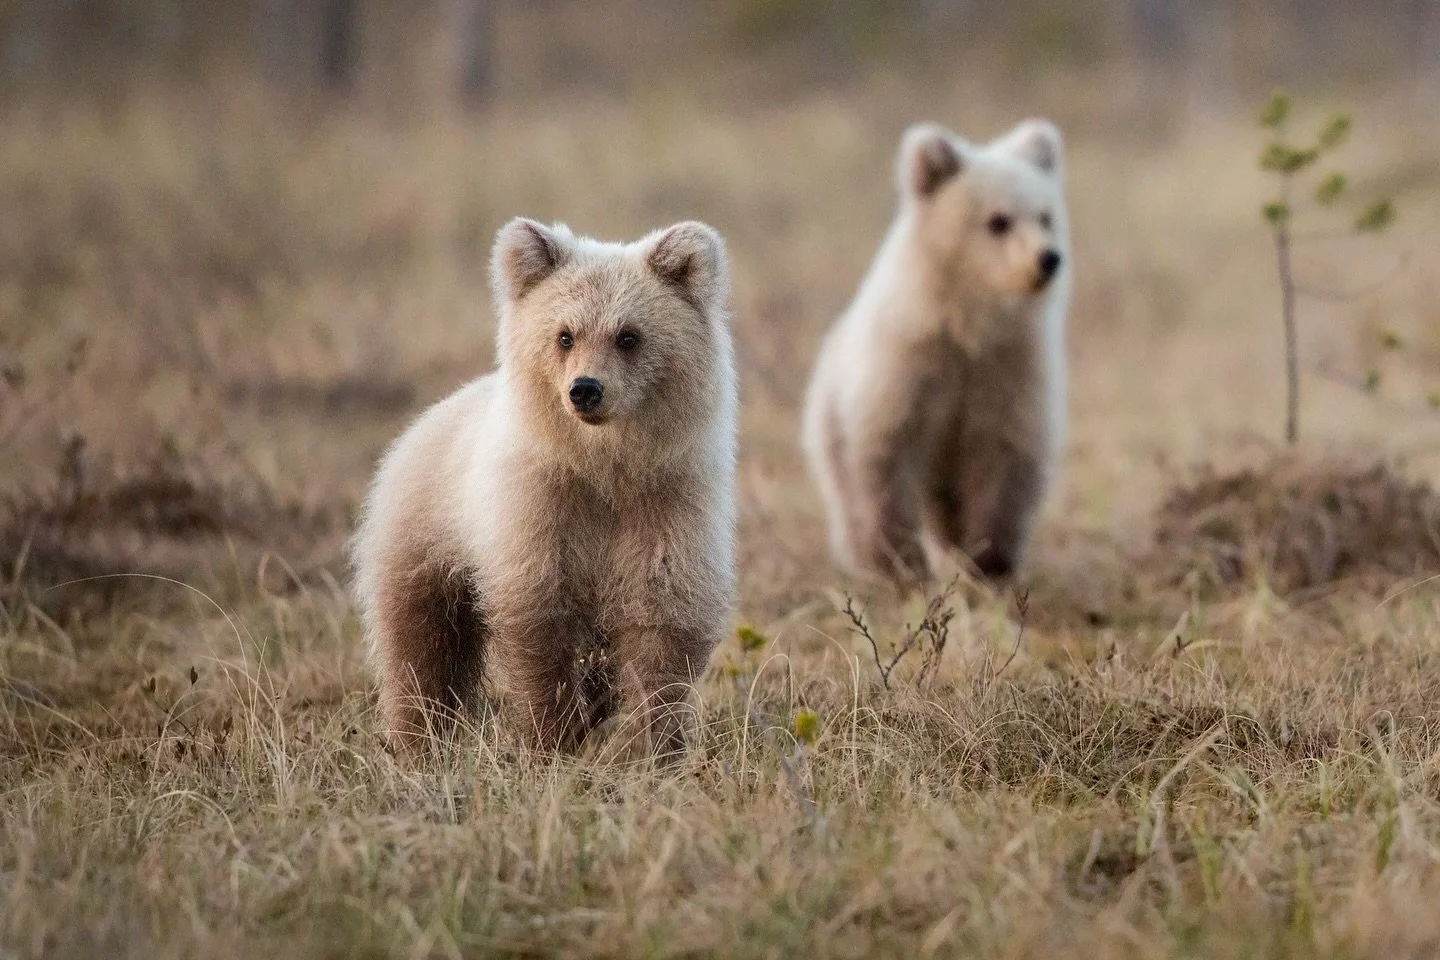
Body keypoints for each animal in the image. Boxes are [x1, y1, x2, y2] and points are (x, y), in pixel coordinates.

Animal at [351, 217, 737, 758]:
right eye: (565, 335)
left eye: (629, 335)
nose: (586, 389)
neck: (604, 470)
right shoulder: (540, 515)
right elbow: (539, 629)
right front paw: (551, 736)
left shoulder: (667, 509)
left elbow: (662, 629)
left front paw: (655, 743)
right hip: (423, 538)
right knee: (419, 643)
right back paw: (418, 737)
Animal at [801, 118, 1070, 585]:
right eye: (998, 221)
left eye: (1045, 215)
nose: (1047, 259)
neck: (968, 326)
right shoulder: (908, 366)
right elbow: (885, 456)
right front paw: (896, 562)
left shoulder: (1010, 368)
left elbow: (1005, 459)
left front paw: (989, 561)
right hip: (829, 418)